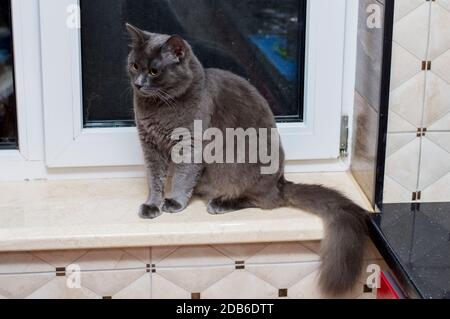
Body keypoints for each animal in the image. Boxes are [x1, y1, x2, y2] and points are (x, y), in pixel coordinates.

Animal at [125, 24, 370, 298]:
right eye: (134, 65)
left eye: (154, 71)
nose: (138, 84)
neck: (159, 106)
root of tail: (281, 181)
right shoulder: (150, 145)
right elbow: (154, 179)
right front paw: (152, 205)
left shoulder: (191, 144)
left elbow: (183, 177)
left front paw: (175, 202)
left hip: (243, 167)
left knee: (265, 201)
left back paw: (221, 203)